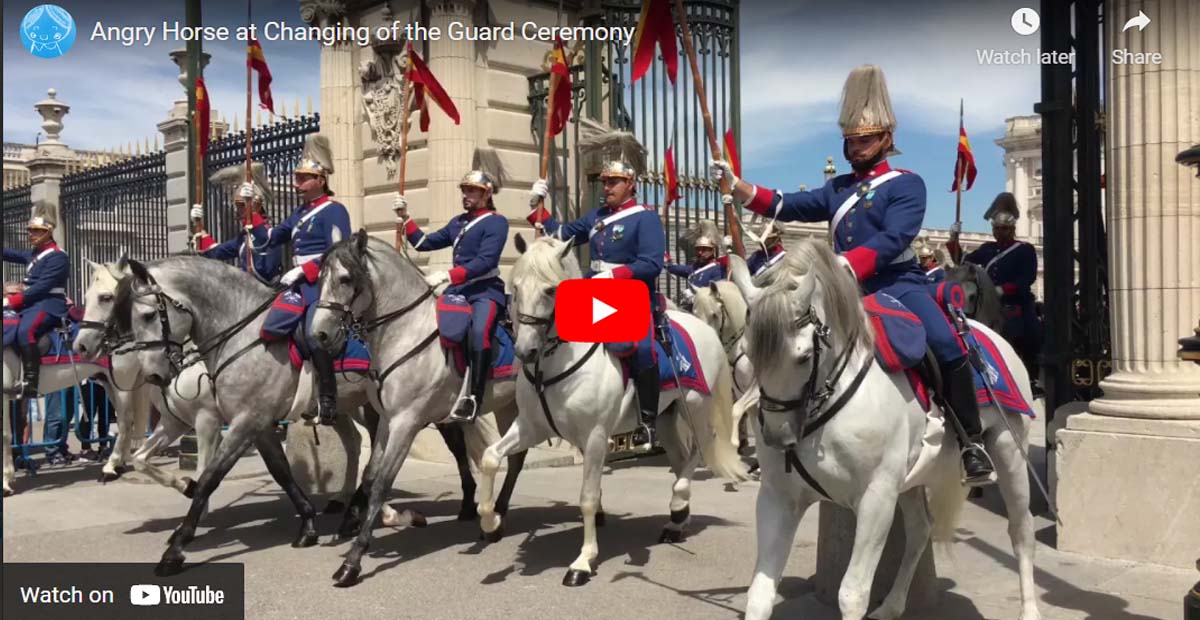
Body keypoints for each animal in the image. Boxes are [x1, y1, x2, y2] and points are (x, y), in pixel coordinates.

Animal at [475, 236, 739, 585]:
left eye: (550, 290)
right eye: (515, 287)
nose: (525, 351)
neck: (554, 366)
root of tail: (704, 327)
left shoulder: (596, 436)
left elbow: (588, 498)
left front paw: (582, 562)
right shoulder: (531, 426)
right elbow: (490, 458)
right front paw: (490, 522)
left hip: (694, 405)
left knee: (701, 448)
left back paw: (679, 500)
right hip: (666, 418)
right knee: (682, 457)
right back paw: (676, 521)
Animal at [724, 241, 1036, 618]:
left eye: (802, 357)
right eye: (750, 352)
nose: (776, 436)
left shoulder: (876, 499)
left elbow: (852, 593)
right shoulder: (778, 498)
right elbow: (759, 594)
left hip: (1009, 453)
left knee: (1021, 530)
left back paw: (1030, 609)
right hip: (914, 475)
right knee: (920, 530)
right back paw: (891, 606)